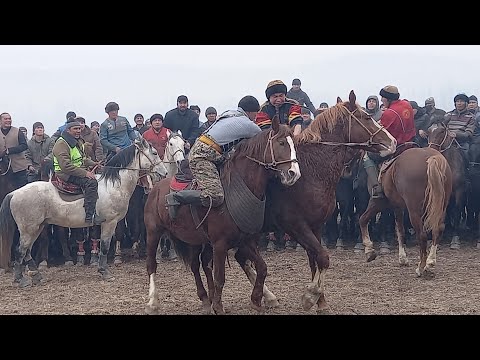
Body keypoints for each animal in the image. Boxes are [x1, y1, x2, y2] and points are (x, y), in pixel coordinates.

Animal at [0, 138, 167, 286]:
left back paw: (36, 276)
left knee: (26, 251)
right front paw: (105, 272)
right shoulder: (110, 222)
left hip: (37, 227)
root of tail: (14, 194)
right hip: (29, 229)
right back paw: (20, 280)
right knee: (20, 250)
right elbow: (104, 247)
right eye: (154, 153)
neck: (113, 185)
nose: (164, 173)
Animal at [142, 118, 300, 316]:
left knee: (197, 265)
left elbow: (262, 267)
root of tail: (155, 189)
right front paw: (219, 306)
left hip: (195, 240)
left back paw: (205, 298)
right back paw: (152, 302)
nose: (294, 173)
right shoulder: (220, 244)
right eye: (281, 143)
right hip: (153, 232)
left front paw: (258, 298)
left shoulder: (245, 239)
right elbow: (220, 277)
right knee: (152, 265)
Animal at [358, 146, 452, 278]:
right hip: (441, 206)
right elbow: (400, 231)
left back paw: (421, 268)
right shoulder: (397, 207)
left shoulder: (377, 202)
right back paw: (430, 262)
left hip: (414, 210)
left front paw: (369, 251)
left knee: (422, 235)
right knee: (438, 229)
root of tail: (430, 157)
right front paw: (402, 259)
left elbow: (363, 219)